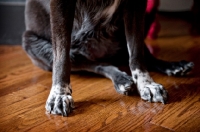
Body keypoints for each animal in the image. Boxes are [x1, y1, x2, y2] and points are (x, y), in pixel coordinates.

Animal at [22, 0, 194, 116]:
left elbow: (136, 53)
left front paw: (147, 84)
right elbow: (62, 59)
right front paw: (59, 94)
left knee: (140, 54)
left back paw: (173, 66)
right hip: (30, 42)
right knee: (96, 64)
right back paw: (121, 79)